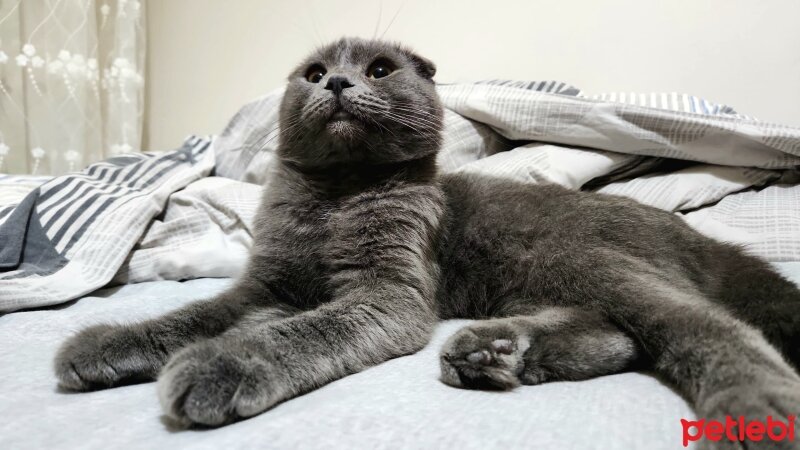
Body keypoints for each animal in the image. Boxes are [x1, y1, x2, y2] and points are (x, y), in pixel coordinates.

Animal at [59, 37, 800, 444]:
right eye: (312, 74)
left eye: (381, 70)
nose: (338, 81)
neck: (335, 199)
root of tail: (691, 232)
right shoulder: (265, 283)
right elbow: (193, 314)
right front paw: (107, 343)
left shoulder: (389, 293)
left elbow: (298, 332)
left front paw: (221, 365)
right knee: (621, 334)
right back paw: (494, 351)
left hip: (587, 259)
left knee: (697, 323)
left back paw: (754, 413)